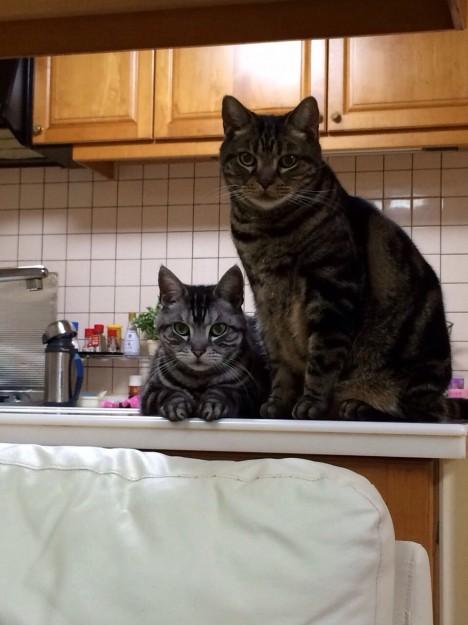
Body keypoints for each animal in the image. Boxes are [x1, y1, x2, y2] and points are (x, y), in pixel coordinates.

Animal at [140, 264, 269, 421]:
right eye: (181, 328)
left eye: (218, 329)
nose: (198, 351)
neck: (199, 382)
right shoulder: (149, 392)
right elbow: (166, 393)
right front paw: (176, 404)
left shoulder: (252, 394)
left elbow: (226, 391)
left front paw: (213, 403)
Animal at [220, 94, 467, 423]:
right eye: (247, 159)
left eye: (288, 161)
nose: (264, 180)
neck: (268, 229)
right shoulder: (266, 299)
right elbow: (280, 359)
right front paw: (278, 403)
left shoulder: (332, 290)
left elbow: (322, 357)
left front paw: (310, 403)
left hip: (419, 365)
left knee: (420, 412)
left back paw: (359, 407)